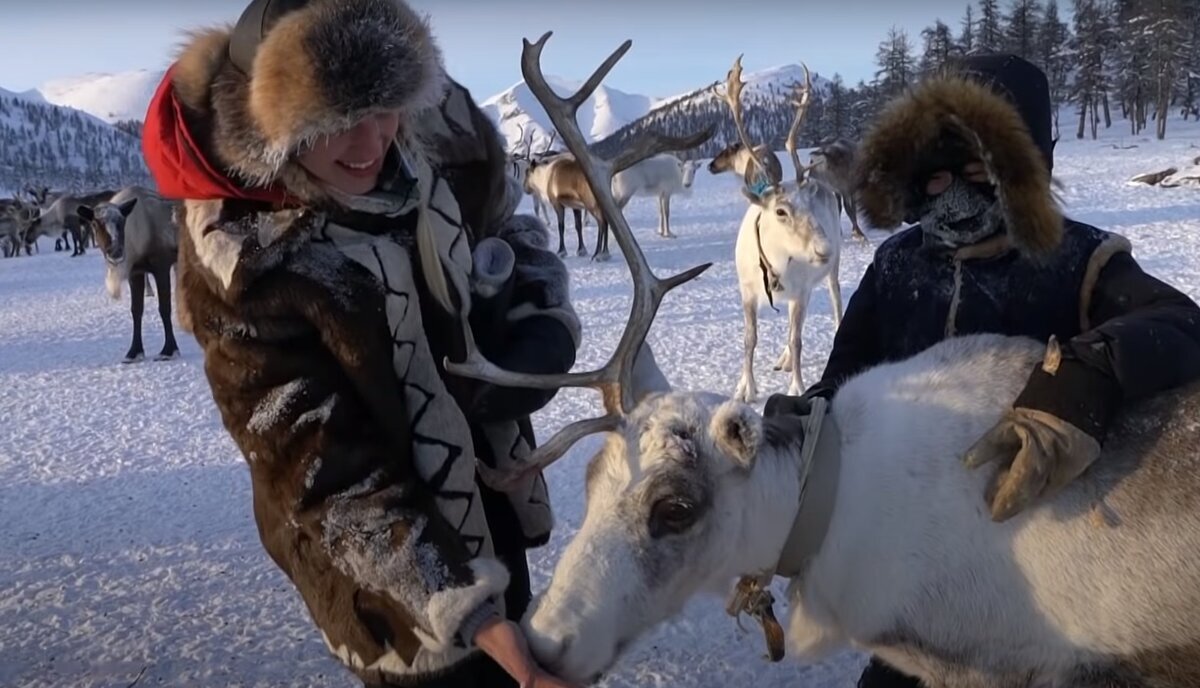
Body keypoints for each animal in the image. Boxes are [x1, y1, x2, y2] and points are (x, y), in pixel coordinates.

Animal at [721, 57, 843, 402]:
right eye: (780, 210)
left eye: (809, 205)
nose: (824, 249)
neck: (774, 264)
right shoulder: (747, 291)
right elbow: (749, 340)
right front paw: (745, 388)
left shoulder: (801, 290)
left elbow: (797, 340)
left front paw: (798, 387)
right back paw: (783, 361)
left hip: (829, 274)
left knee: (834, 300)